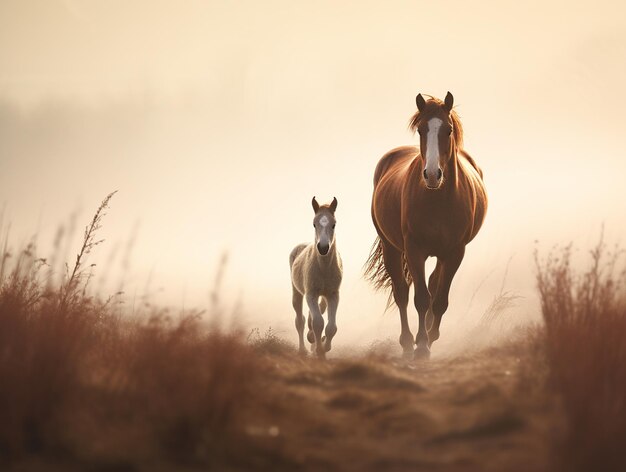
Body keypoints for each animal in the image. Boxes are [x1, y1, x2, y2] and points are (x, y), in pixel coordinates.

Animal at [364, 92, 486, 358]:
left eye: (448, 130)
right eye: (421, 130)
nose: (432, 174)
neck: (438, 200)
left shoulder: (454, 252)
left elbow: (439, 299)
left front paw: (430, 338)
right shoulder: (414, 249)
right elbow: (420, 298)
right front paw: (420, 345)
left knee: (432, 284)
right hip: (391, 247)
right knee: (401, 292)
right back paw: (407, 342)